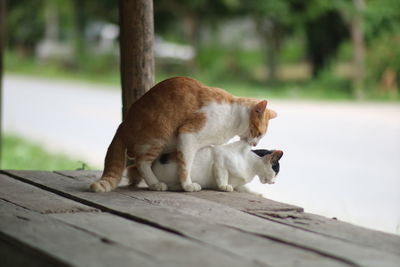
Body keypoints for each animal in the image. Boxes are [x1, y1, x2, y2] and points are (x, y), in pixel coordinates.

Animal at [130, 141, 282, 194]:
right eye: (276, 172)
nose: (274, 182)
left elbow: (243, 188)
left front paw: (254, 192)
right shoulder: (219, 159)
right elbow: (222, 175)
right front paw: (224, 186)